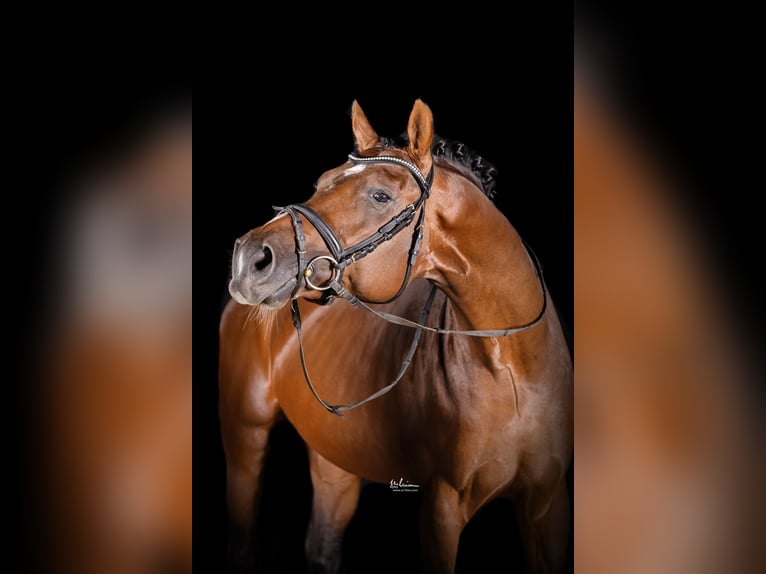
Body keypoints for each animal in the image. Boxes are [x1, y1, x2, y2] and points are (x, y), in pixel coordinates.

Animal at [220, 99, 572, 573]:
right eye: (321, 182)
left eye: (380, 196)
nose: (249, 260)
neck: (514, 365)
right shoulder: (441, 509)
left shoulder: (547, 505)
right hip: (245, 437)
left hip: (335, 459)